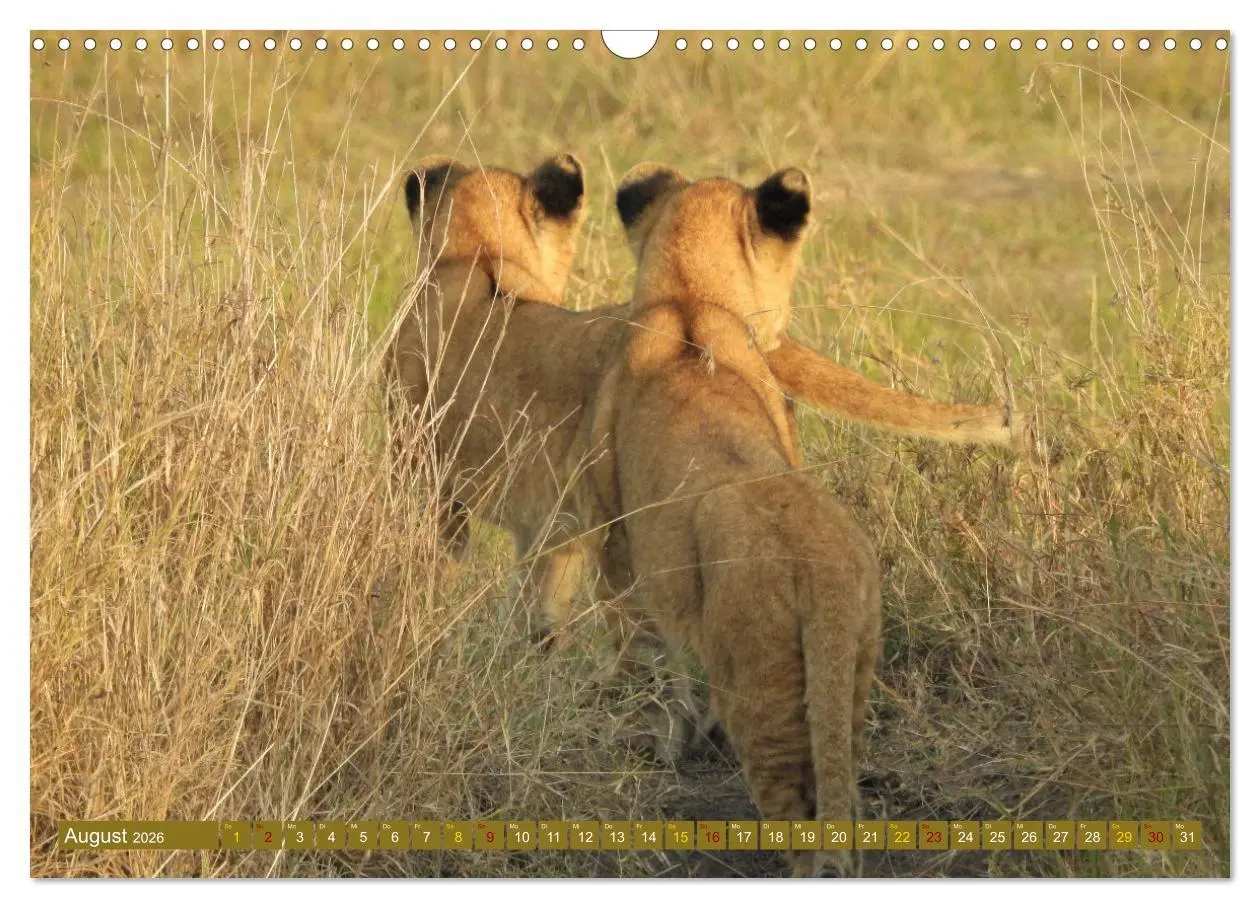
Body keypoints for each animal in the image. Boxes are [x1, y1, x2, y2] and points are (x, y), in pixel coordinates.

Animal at [584, 165, 884, 877]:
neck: (690, 299)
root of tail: (823, 571)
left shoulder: (617, 541)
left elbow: (642, 645)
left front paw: (660, 738)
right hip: (850, 668)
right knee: (842, 784)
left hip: (758, 681)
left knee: (796, 809)